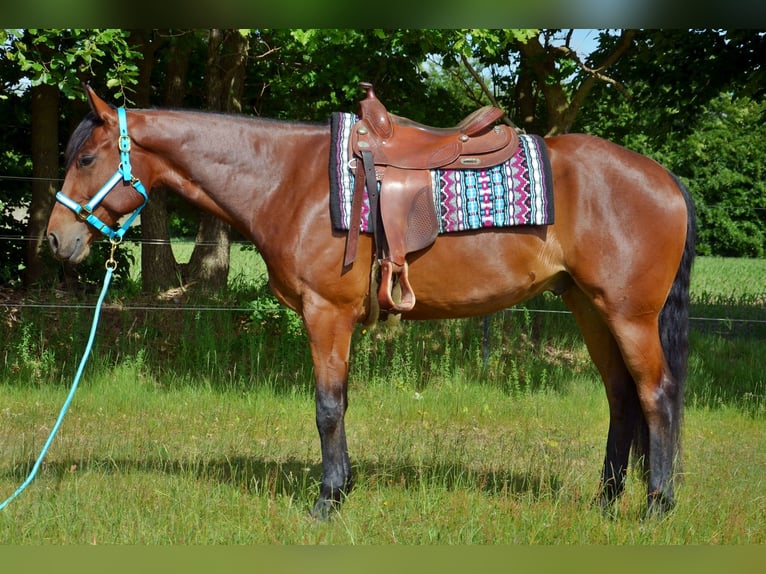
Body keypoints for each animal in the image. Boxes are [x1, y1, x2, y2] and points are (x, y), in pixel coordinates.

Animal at [46, 86, 695, 520]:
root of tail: (665, 179)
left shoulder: (325, 313)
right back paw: (606, 501)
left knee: (656, 395)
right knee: (621, 398)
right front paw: (344, 486)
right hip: (590, 308)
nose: (55, 239)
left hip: (629, 315)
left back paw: (656, 506)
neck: (291, 180)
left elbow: (328, 406)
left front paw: (328, 500)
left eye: (85, 159)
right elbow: (342, 402)